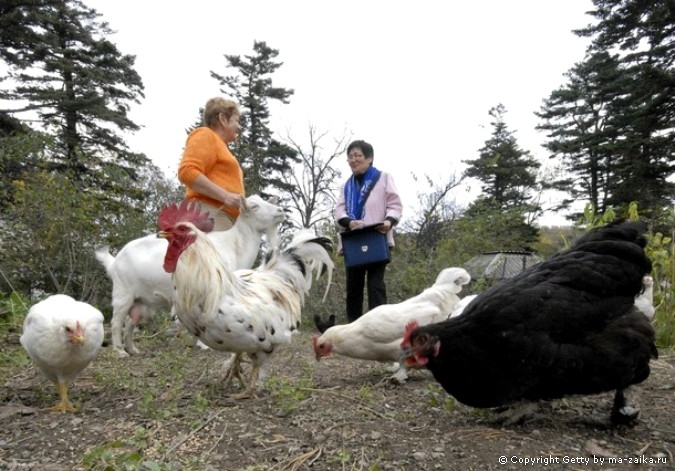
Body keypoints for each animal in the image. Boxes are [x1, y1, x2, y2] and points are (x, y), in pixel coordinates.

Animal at [95, 195, 286, 358]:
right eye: (254, 206)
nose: (280, 210)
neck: (235, 245)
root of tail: (114, 261)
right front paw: (204, 345)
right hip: (123, 294)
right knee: (116, 322)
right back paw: (120, 351)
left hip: (142, 302)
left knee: (129, 322)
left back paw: (133, 349)